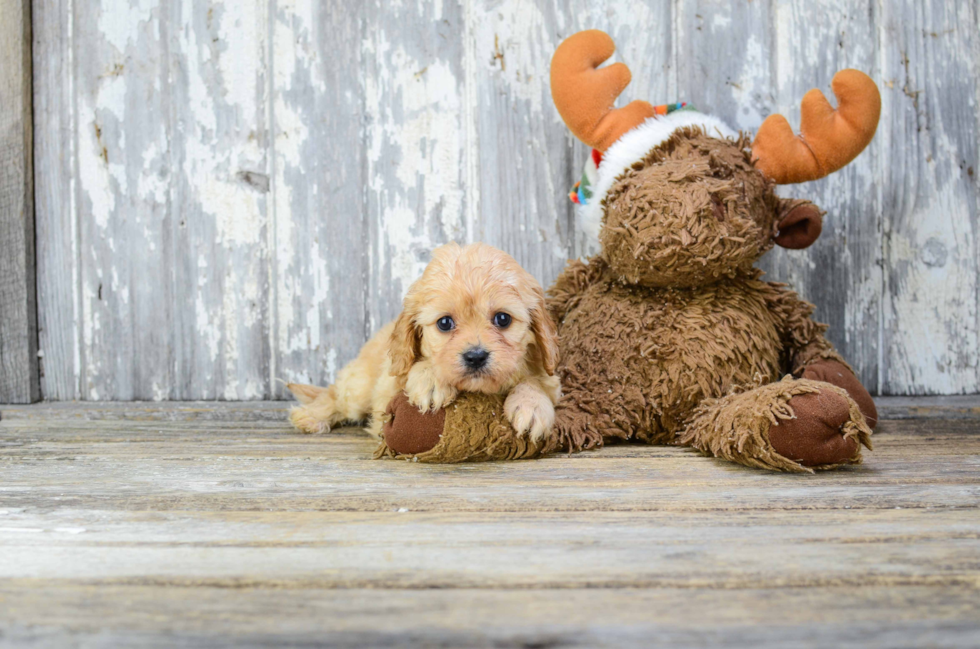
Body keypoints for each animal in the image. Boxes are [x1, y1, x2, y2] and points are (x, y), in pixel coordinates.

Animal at [286, 242, 560, 440]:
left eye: (503, 319)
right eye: (445, 323)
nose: (476, 356)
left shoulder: (550, 376)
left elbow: (537, 382)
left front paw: (531, 406)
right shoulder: (387, 392)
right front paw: (431, 380)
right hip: (359, 388)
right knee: (336, 396)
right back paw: (312, 417)